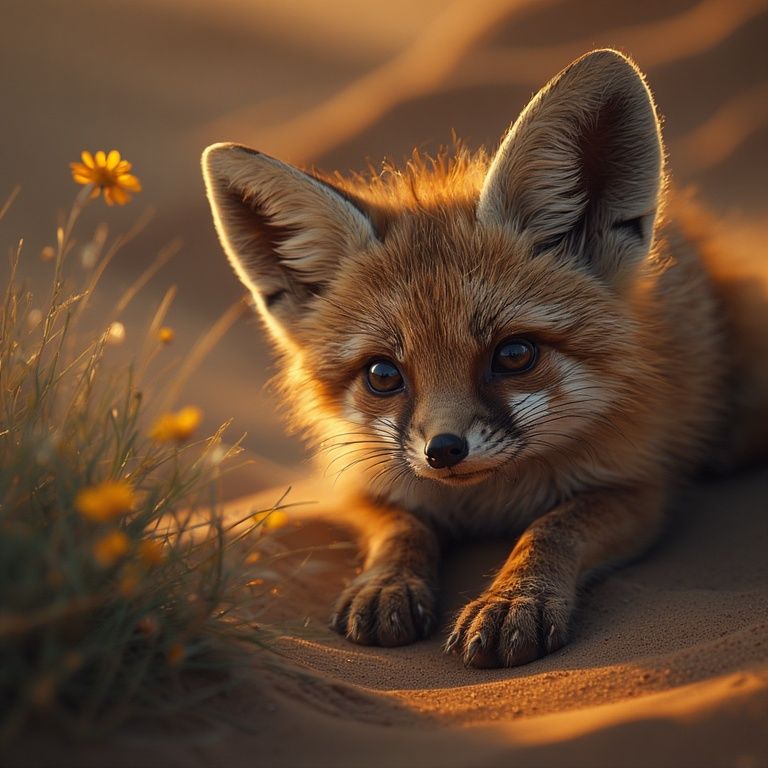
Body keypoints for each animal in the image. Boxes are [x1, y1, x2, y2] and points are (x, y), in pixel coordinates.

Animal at [201, 49, 768, 668]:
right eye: (382, 375)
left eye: (514, 354)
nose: (444, 451)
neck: (487, 501)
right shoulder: (357, 481)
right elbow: (400, 529)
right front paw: (387, 583)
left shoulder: (640, 485)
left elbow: (551, 530)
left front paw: (514, 598)